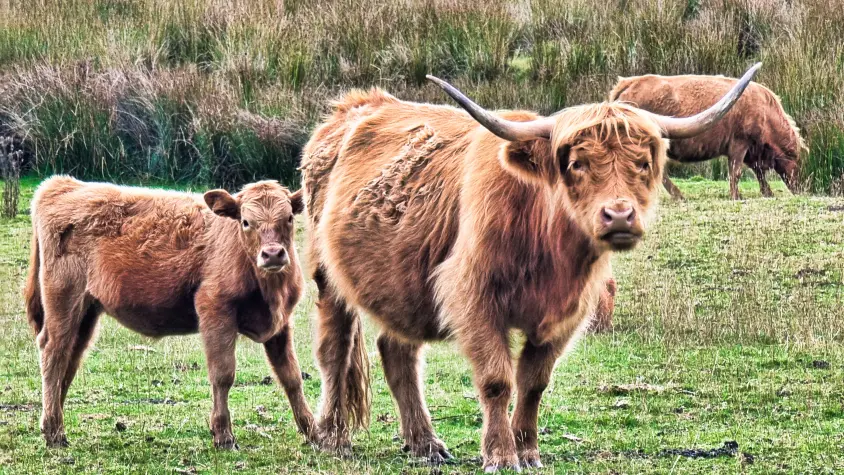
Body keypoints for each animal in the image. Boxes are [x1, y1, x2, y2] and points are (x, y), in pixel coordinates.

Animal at [23, 177, 316, 449]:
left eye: (289, 218)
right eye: (246, 222)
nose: (273, 254)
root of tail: (65, 184)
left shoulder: (280, 323)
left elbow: (291, 376)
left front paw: (314, 432)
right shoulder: (215, 309)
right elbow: (222, 374)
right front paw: (223, 435)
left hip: (86, 312)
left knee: (70, 358)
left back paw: (52, 421)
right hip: (63, 301)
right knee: (53, 353)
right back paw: (54, 431)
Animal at [300, 63, 760, 470]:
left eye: (643, 163)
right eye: (577, 163)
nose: (619, 215)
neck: (547, 250)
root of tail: (349, 108)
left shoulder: (566, 315)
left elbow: (534, 383)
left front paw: (529, 451)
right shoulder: (474, 299)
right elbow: (497, 380)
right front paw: (501, 456)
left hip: (401, 283)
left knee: (398, 354)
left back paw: (426, 444)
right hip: (327, 279)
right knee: (334, 351)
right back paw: (333, 437)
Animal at [610, 73, 805, 200]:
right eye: (795, 160)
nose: (801, 188)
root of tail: (630, 82)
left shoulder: (751, 151)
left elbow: (758, 173)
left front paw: (767, 192)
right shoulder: (739, 143)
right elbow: (736, 172)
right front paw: (736, 196)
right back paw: (678, 195)